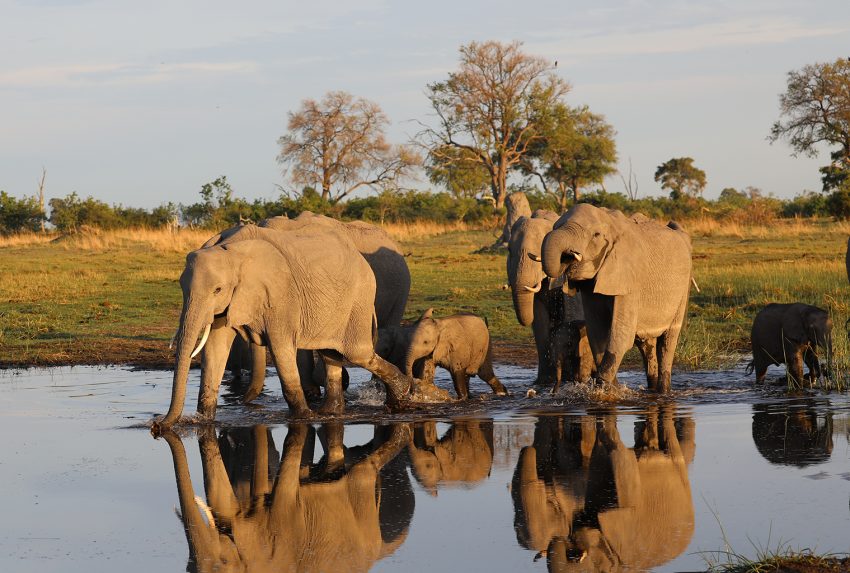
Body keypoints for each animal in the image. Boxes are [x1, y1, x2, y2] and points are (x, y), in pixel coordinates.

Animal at [157, 223, 418, 428]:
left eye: (218, 289)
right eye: (182, 287)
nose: (157, 425)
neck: (231, 251)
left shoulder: (281, 295)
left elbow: (280, 346)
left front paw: (303, 417)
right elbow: (216, 346)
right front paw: (204, 420)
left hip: (360, 299)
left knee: (357, 353)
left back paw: (402, 394)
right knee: (331, 352)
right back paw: (330, 412)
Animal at [506, 208, 588, 386]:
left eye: (537, 255)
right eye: (509, 251)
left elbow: (571, 317)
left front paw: (569, 379)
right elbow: (540, 321)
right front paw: (544, 382)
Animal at [540, 203, 692, 392]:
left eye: (596, 235)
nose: (567, 256)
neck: (611, 225)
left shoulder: (630, 279)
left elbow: (621, 335)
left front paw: (604, 388)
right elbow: (597, 332)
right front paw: (611, 388)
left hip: (683, 291)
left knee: (667, 342)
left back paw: (663, 391)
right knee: (646, 345)